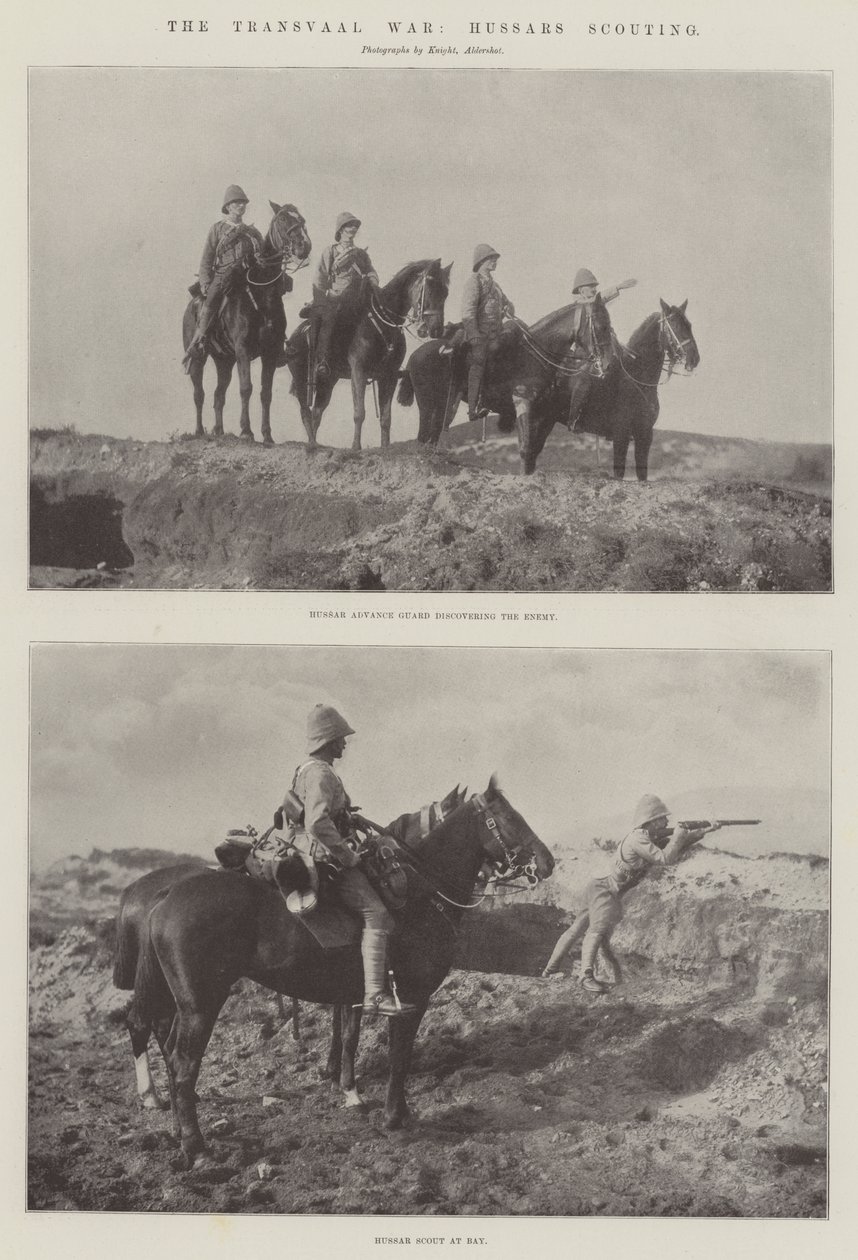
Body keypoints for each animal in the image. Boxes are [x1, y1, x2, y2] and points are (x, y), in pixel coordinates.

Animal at [112, 786, 466, 1113]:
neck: (413, 890)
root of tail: (154, 893)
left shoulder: (349, 986)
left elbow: (345, 1031)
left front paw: (340, 1080)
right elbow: (352, 1035)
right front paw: (345, 1084)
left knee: (154, 1027)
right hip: (192, 996)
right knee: (147, 1027)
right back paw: (157, 1097)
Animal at [180, 199, 311, 446]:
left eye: (302, 219)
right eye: (282, 219)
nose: (304, 245)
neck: (261, 294)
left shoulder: (270, 353)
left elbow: (265, 393)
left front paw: (267, 435)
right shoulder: (242, 349)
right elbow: (246, 388)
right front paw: (247, 431)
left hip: (224, 361)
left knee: (218, 395)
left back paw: (219, 431)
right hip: (199, 359)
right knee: (199, 394)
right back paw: (200, 431)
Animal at [284, 258, 451, 451]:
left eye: (445, 293)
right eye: (430, 289)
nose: (437, 329)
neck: (382, 321)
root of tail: (295, 335)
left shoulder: (389, 376)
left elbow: (386, 418)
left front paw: (385, 447)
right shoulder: (359, 372)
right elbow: (360, 412)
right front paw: (356, 446)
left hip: (328, 381)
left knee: (316, 412)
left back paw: (316, 443)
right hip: (301, 378)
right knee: (305, 412)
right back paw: (312, 444)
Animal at [521, 299, 695, 481]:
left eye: (689, 325)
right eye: (675, 325)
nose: (694, 358)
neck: (637, 378)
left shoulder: (645, 435)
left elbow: (642, 474)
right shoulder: (621, 435)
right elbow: (619, 472)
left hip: (546, 422)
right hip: (536, 420)